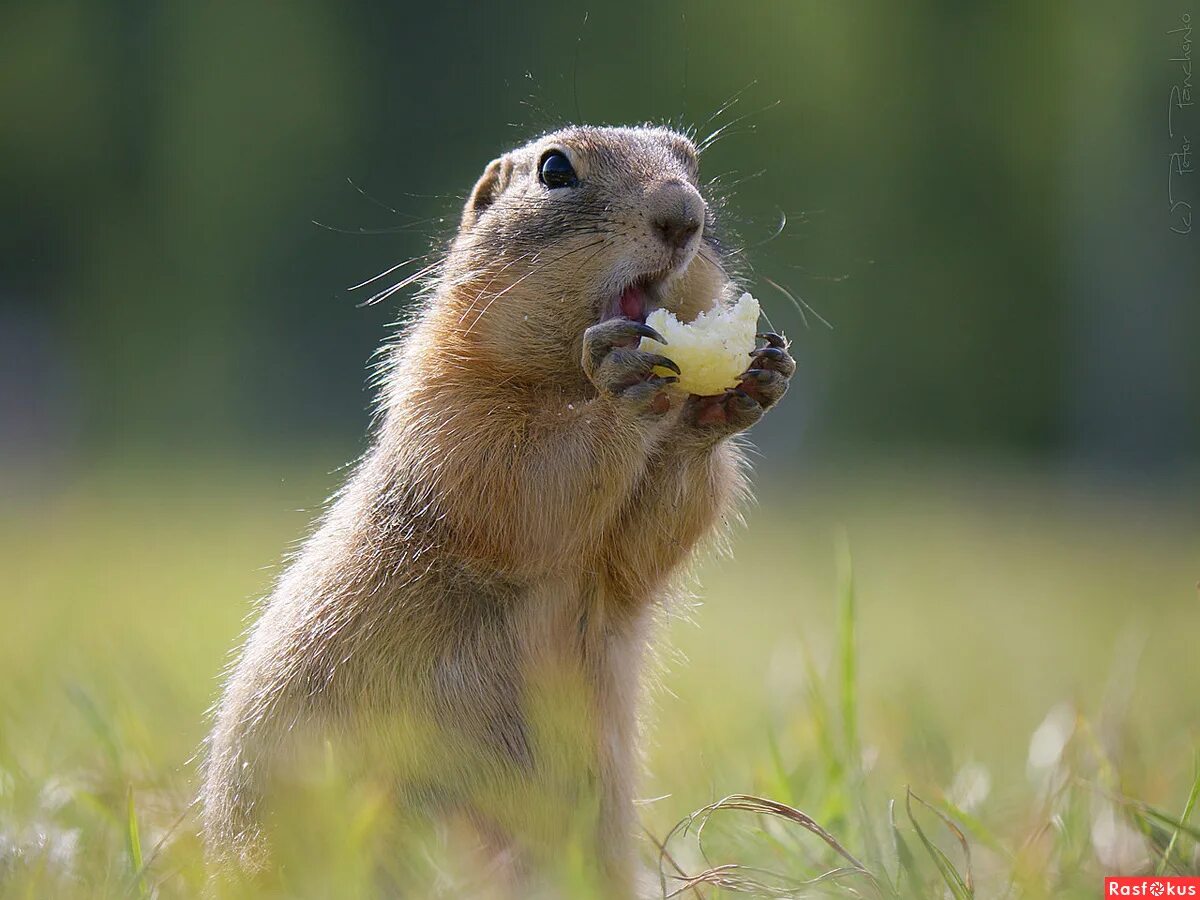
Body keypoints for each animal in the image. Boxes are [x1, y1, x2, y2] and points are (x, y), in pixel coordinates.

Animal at [201, 123, 792, 897]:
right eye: (555, 169)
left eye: (692, 163)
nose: (683, 213)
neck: (563, 377)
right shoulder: (452, 409)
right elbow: (524, 478)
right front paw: (623, 386)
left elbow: (644, 546)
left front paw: (741, 390)